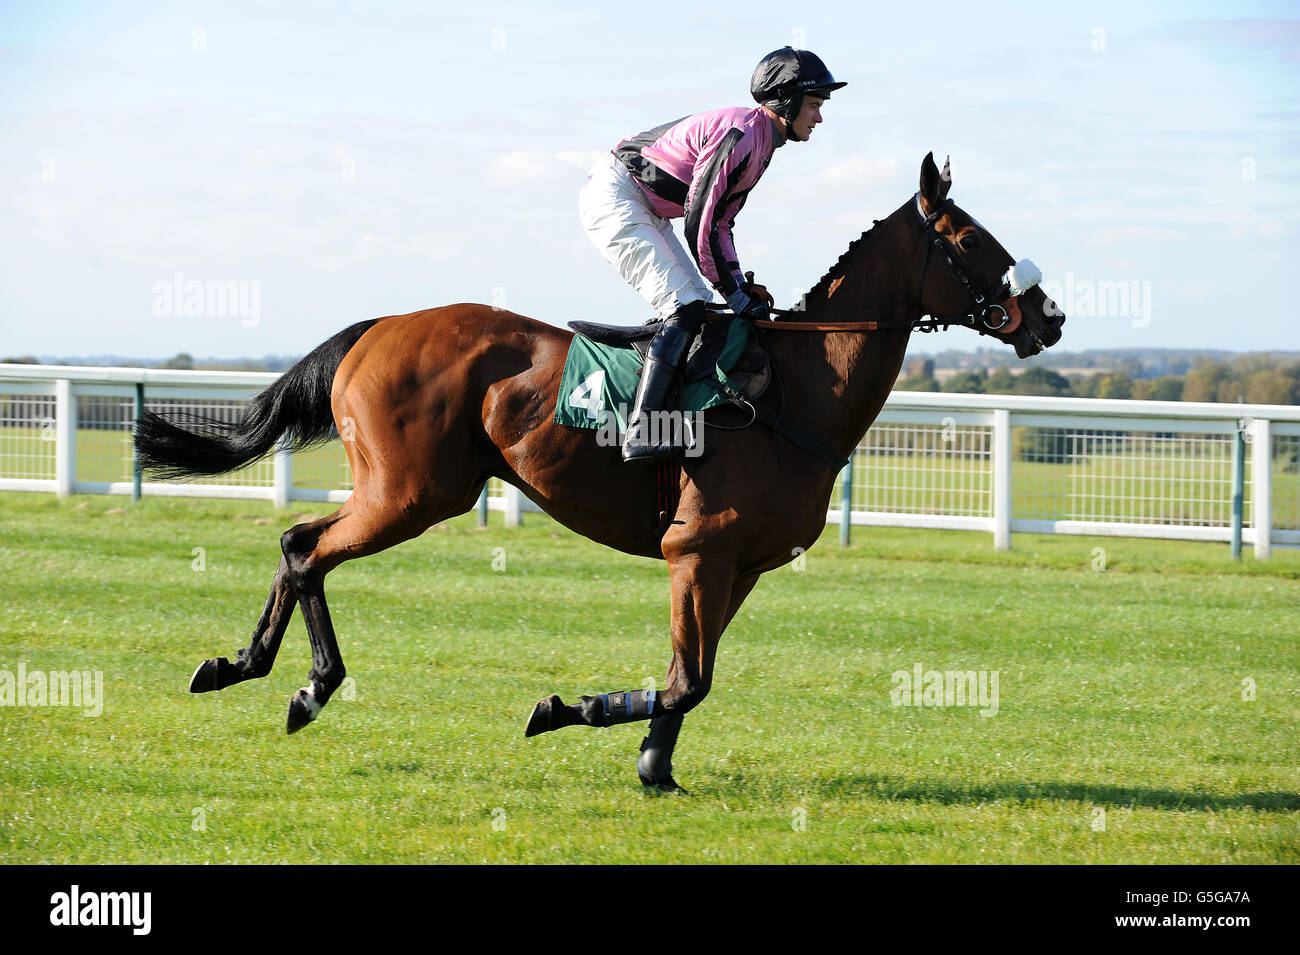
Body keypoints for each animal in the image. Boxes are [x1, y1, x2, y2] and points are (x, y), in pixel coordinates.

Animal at [134, 153, 1063, 789]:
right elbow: (688, 679)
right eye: (970, 238)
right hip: (411, 493)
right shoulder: (698, 548)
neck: (800, 385)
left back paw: (249, 668)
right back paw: (302, 685)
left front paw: (652, 764)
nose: (1048, 314)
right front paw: (564, 711)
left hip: (411, 491)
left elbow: (690, 681)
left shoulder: (739, 564)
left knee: (301, 544)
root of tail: (380, 325)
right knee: (306, 548)